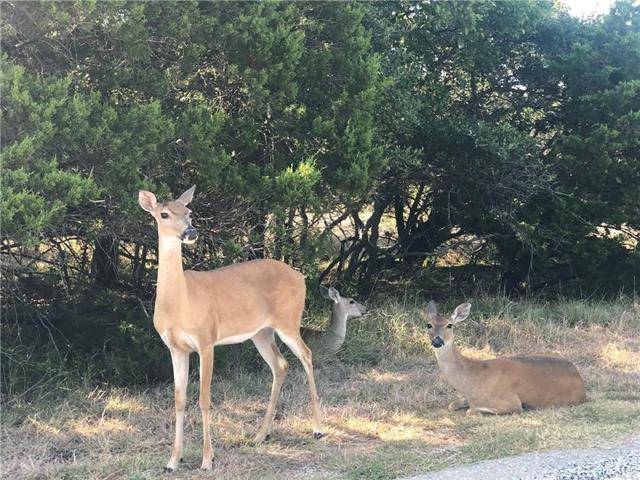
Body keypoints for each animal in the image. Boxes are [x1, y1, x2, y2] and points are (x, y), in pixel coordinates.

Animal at [137, 188, 322, 472]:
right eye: (164, 214)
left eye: (189, 211)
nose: (191, 232)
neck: (180, 302)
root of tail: (300, 276)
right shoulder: (176, 348)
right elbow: (179, 399)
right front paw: (173, 461)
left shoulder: (206, 340)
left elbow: (204, 399)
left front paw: (207, 459)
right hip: (261, 332)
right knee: (280, 364)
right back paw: (260, 435)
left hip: (288, 320)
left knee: (307, 355)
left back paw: (318, 429)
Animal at [424, 302, 584, 414]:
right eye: (429, 325)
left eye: (449, 325)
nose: (437, 340)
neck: (472, 378)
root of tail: (580, 378)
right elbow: (452, 405)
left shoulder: (511, 401)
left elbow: (471, 411)